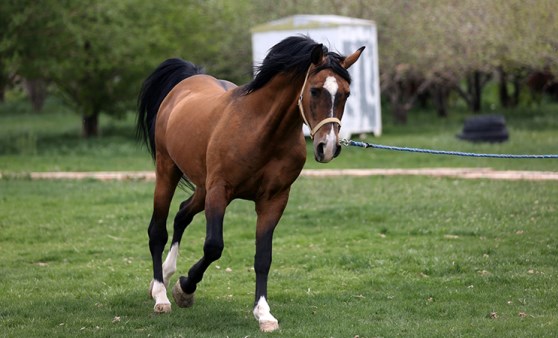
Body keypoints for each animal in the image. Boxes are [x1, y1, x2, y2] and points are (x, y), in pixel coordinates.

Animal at [137, 35, 366, 332]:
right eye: (315, 91)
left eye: (346, 94)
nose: (327, 148)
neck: (261, 131)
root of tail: (186, 83)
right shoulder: (219, 192)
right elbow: (213, 247)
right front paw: (184, 289)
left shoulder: (274, 200)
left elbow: (263, 257)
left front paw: (264, 313)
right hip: (168, 172)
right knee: (158, 231)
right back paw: (160, 293)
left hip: (201, 188)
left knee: (182, 214)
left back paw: (166, 274)